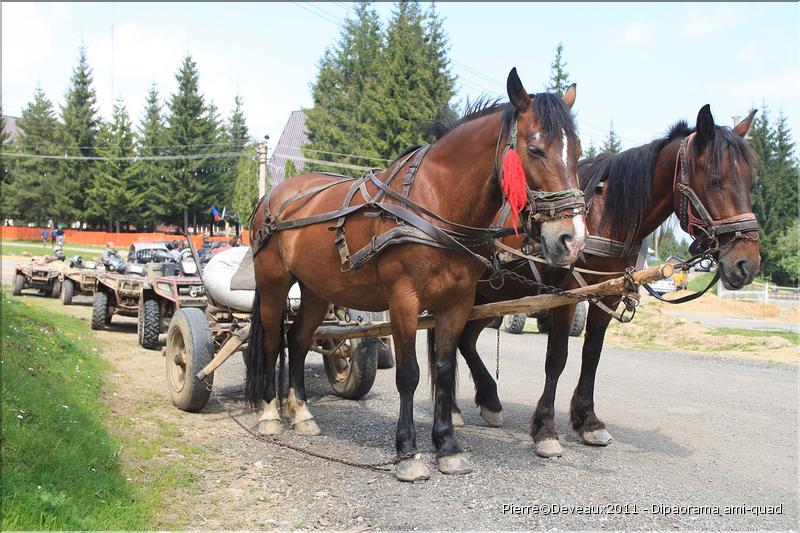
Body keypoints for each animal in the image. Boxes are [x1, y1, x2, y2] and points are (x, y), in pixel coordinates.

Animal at [241, 68, 584, 480]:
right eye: (535, 149)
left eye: (578, 151)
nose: (571, 239)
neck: (433, 203)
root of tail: (272, 197)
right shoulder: (403, 300)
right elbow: (409, 374)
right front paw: (408, 452)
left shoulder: (457, 303)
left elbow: (445, 369)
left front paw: (448, 446)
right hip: (274, 283)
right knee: (271, 341)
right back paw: (269, 415)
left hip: (316, 289)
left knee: (297, 339)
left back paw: (302, 413)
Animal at [450, 105, 764, 458]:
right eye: (715, 180)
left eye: (750, 180)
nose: (747, 263)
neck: (604, 217)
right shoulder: (566, 296)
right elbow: (557, 358)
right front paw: (545, 430)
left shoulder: (607, 297)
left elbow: (592, 356)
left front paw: (588, 422)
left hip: (491, 296)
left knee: (464, 339)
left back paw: (483, 402)